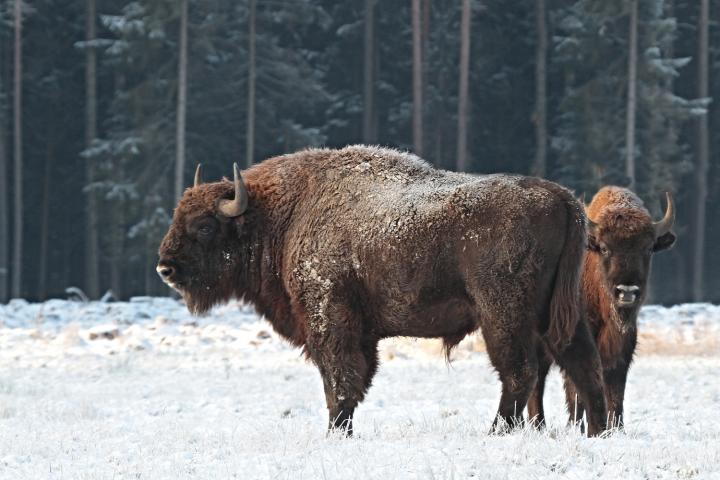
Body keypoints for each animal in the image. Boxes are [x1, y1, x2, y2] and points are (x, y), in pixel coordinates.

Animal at [156, 145, 608, 436]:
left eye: (204, 226)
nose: (165, 267)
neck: (283, 215)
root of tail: (564, 199)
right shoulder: (362, 332)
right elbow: (354, 380)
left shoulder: (330, 318)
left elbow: (339, 379)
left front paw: (336, 433)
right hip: (560, 312)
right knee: (584, 362)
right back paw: (599, 432)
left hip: (503, 314)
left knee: (520, 371)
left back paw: (496, 431)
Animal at [528, 186, 676, 430]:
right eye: (605, 248)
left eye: (647, 249)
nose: (627, 290)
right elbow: (578, 390)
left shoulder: (623, 348)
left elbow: (615, 391)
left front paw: (616, 428)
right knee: (537, 382)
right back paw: (539, 425)